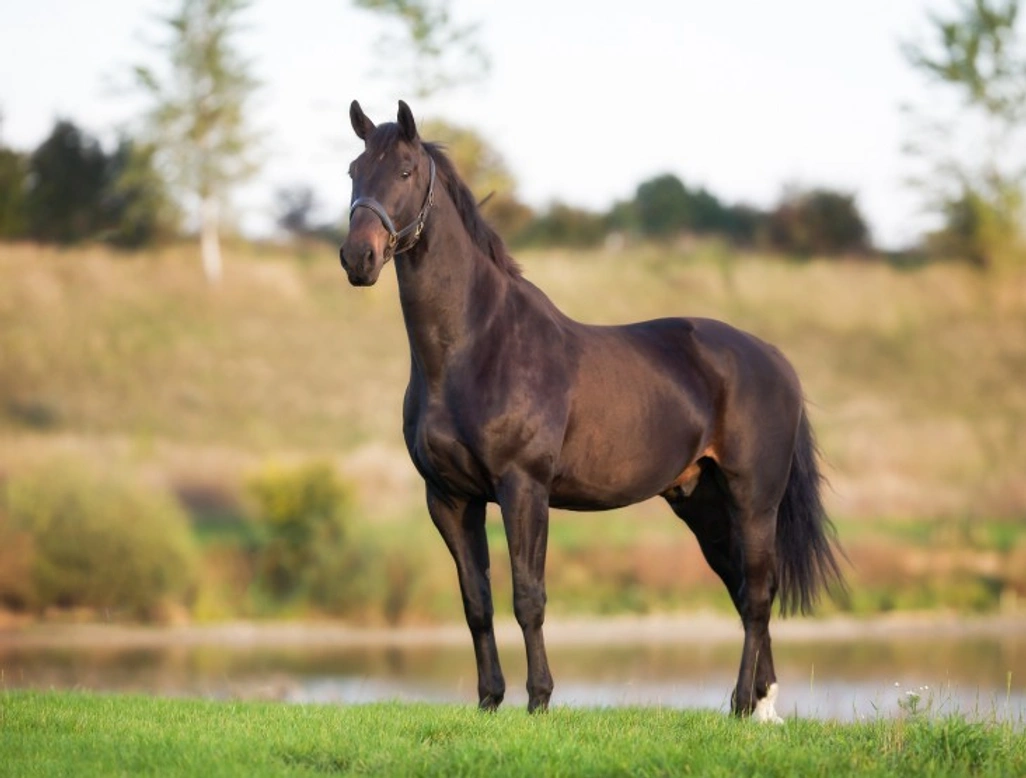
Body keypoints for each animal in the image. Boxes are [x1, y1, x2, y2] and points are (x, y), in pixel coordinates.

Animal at [339, 100, 845, 722]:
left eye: (406, 171)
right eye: (354, 171)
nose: (358, 257)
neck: (476, 346)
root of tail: (774, 358)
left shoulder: (523, 488)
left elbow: (528, 597)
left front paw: (538, 701)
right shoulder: (450, 499)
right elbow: (476, 602)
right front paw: (489, 701)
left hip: (754, 498)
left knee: (755, 593)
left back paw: (740, 703)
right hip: (701, 501)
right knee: (744, 586)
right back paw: (762, 707)